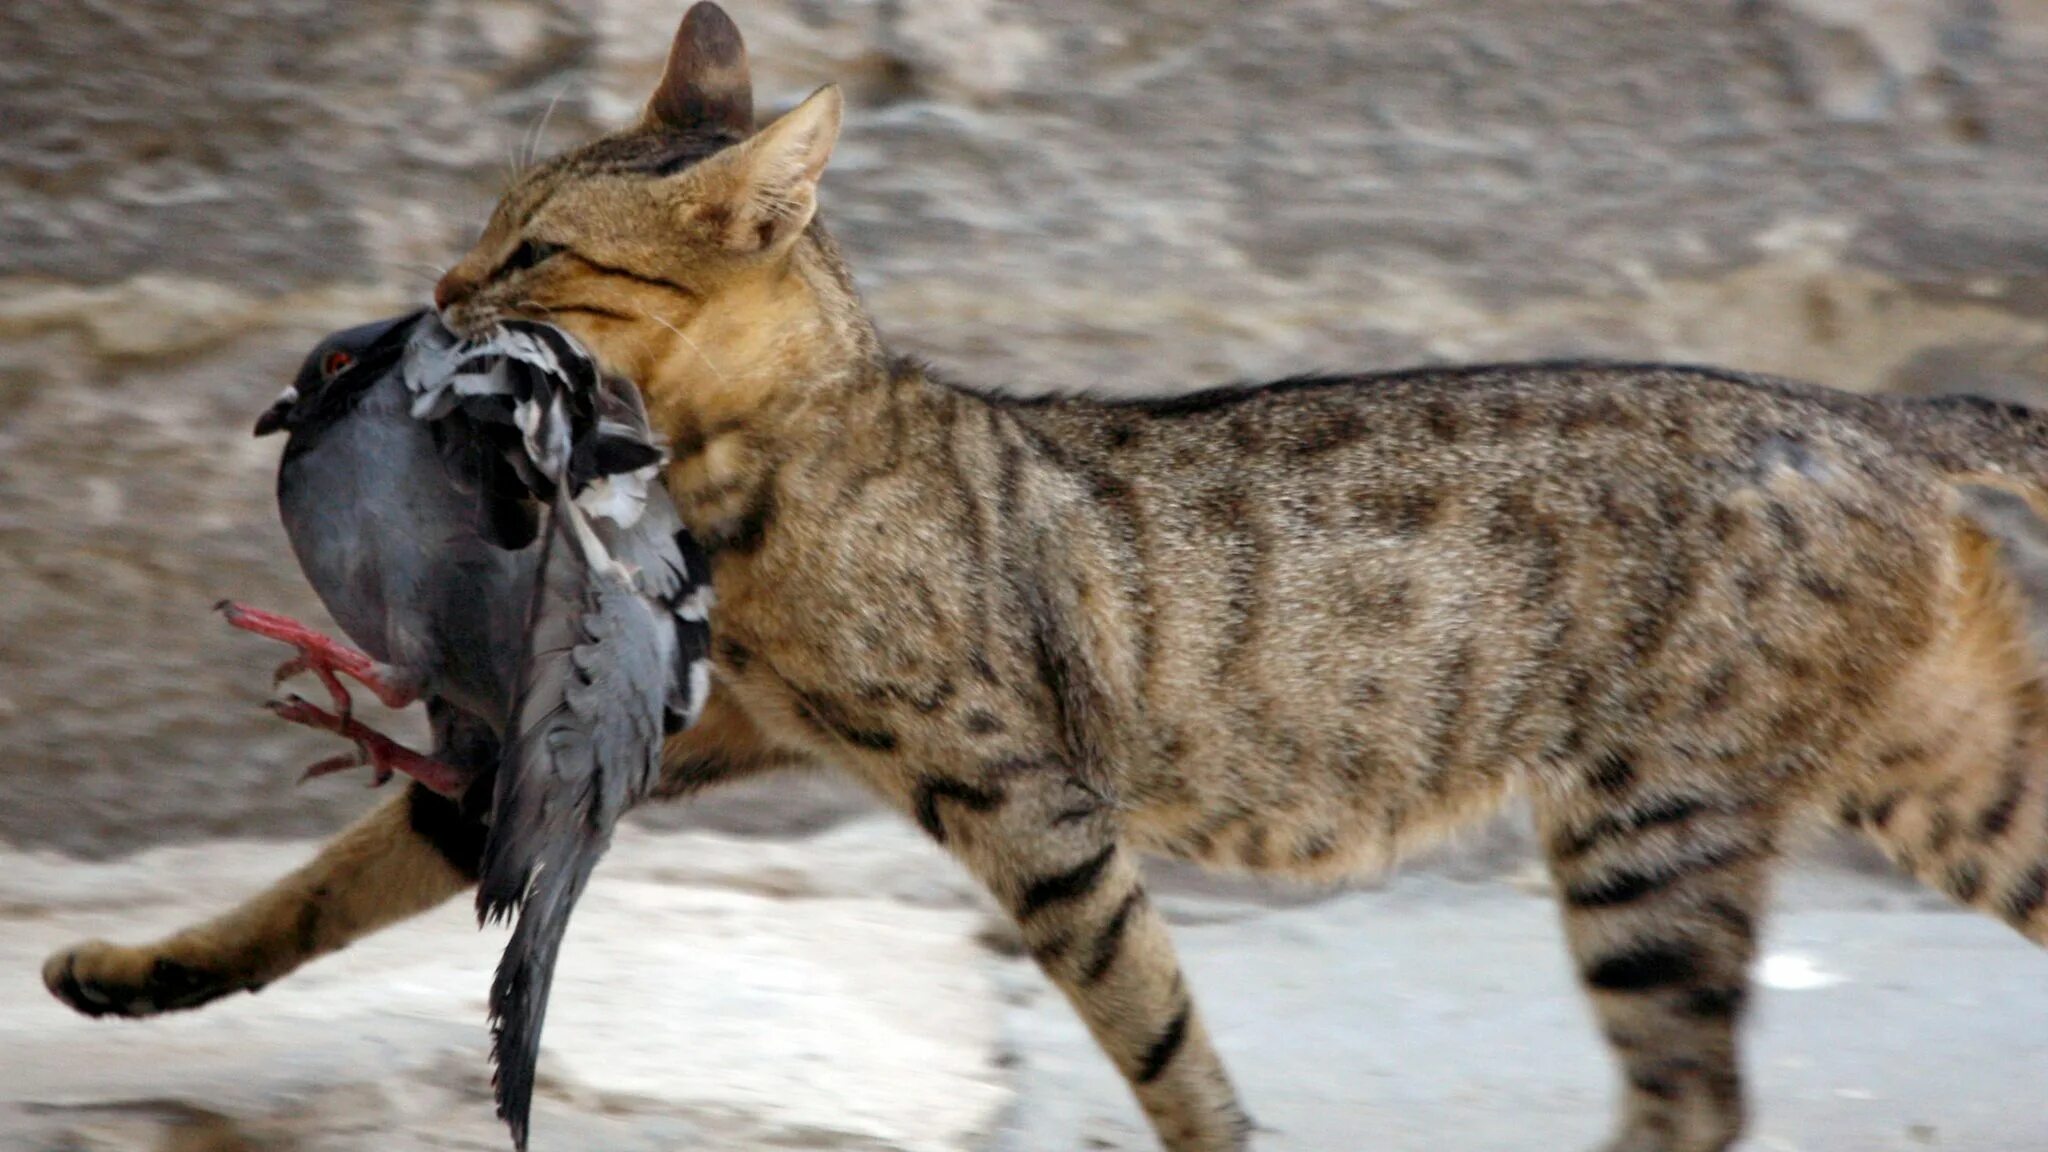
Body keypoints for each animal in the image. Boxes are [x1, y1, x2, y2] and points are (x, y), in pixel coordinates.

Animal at [39, 4, 2048, 1139]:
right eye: (481, 226)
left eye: (531, 251)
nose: (440, 295)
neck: (759, 456)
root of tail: (1865, 412)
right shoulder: (645, 745)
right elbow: (330, 878)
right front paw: (140, 973)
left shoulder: (1025, 802)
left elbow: (1156, 1031)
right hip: (1939, 787)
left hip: (1653, 833)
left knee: (1691, 1100)